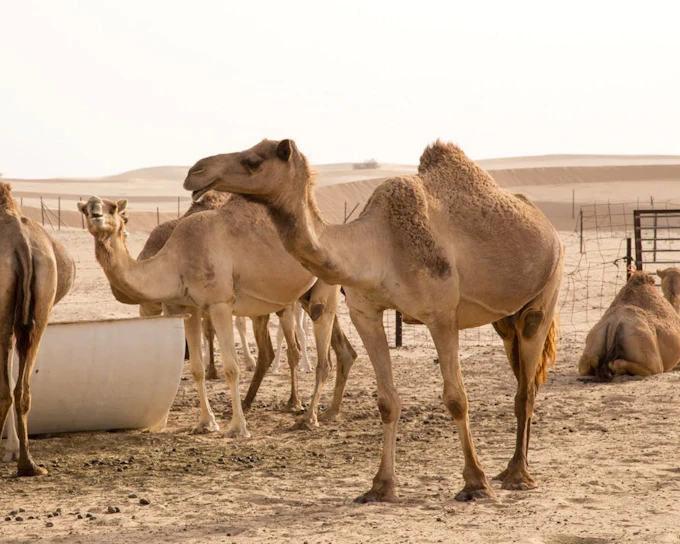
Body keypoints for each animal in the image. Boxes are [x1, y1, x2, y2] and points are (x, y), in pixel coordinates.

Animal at [184, 138, 563, 502]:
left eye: (253, 161)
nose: (194, 171)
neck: (379, 247)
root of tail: (549, 227)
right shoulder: (365, 312)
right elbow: (386, 401)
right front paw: (380, 487)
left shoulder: (441, 316)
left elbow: (456, 398)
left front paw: (475, 483)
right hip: (506, 321)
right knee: (522, 376)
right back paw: (510, 469)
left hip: (545, 293)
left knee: (526, 386)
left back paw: (517, 475)